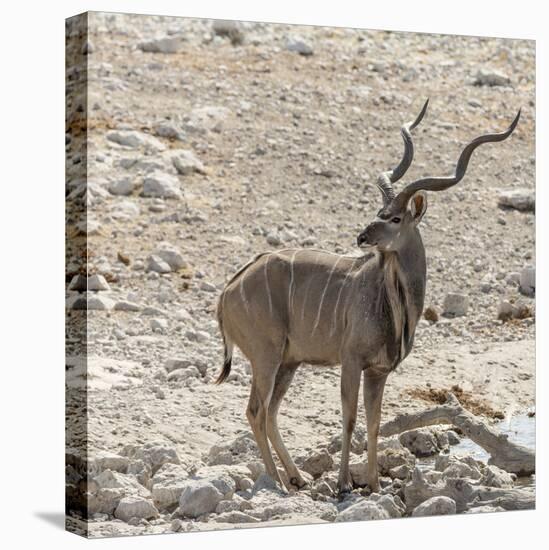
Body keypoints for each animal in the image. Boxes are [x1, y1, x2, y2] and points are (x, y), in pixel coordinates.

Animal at [214, 101, 520, 498]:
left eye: (394, 218)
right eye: (379, 214)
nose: (361, 237)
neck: (391, 303)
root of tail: (228, 291)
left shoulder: (378, 371)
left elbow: (374, 423)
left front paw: (374, 484)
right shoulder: (351, 361)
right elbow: (349, 418)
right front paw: (344, 484)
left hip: (288, 362)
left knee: (270, 412)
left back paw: (296, 478)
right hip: (267, 357)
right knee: (256, 410)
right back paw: (279, 483)